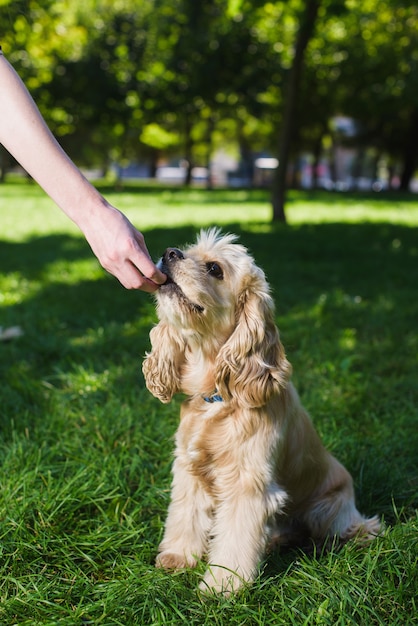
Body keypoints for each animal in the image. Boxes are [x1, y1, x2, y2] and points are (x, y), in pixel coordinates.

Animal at [142, 228, 380, 588]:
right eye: (187, 251)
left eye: (215, 269)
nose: (169, 253)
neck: (217, 397)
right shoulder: (188, 470)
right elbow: (186, 517)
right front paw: (177, 558)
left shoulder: (246, 484)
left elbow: (235, 540)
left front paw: (221, 587)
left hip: (327, 507)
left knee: (347, 527)